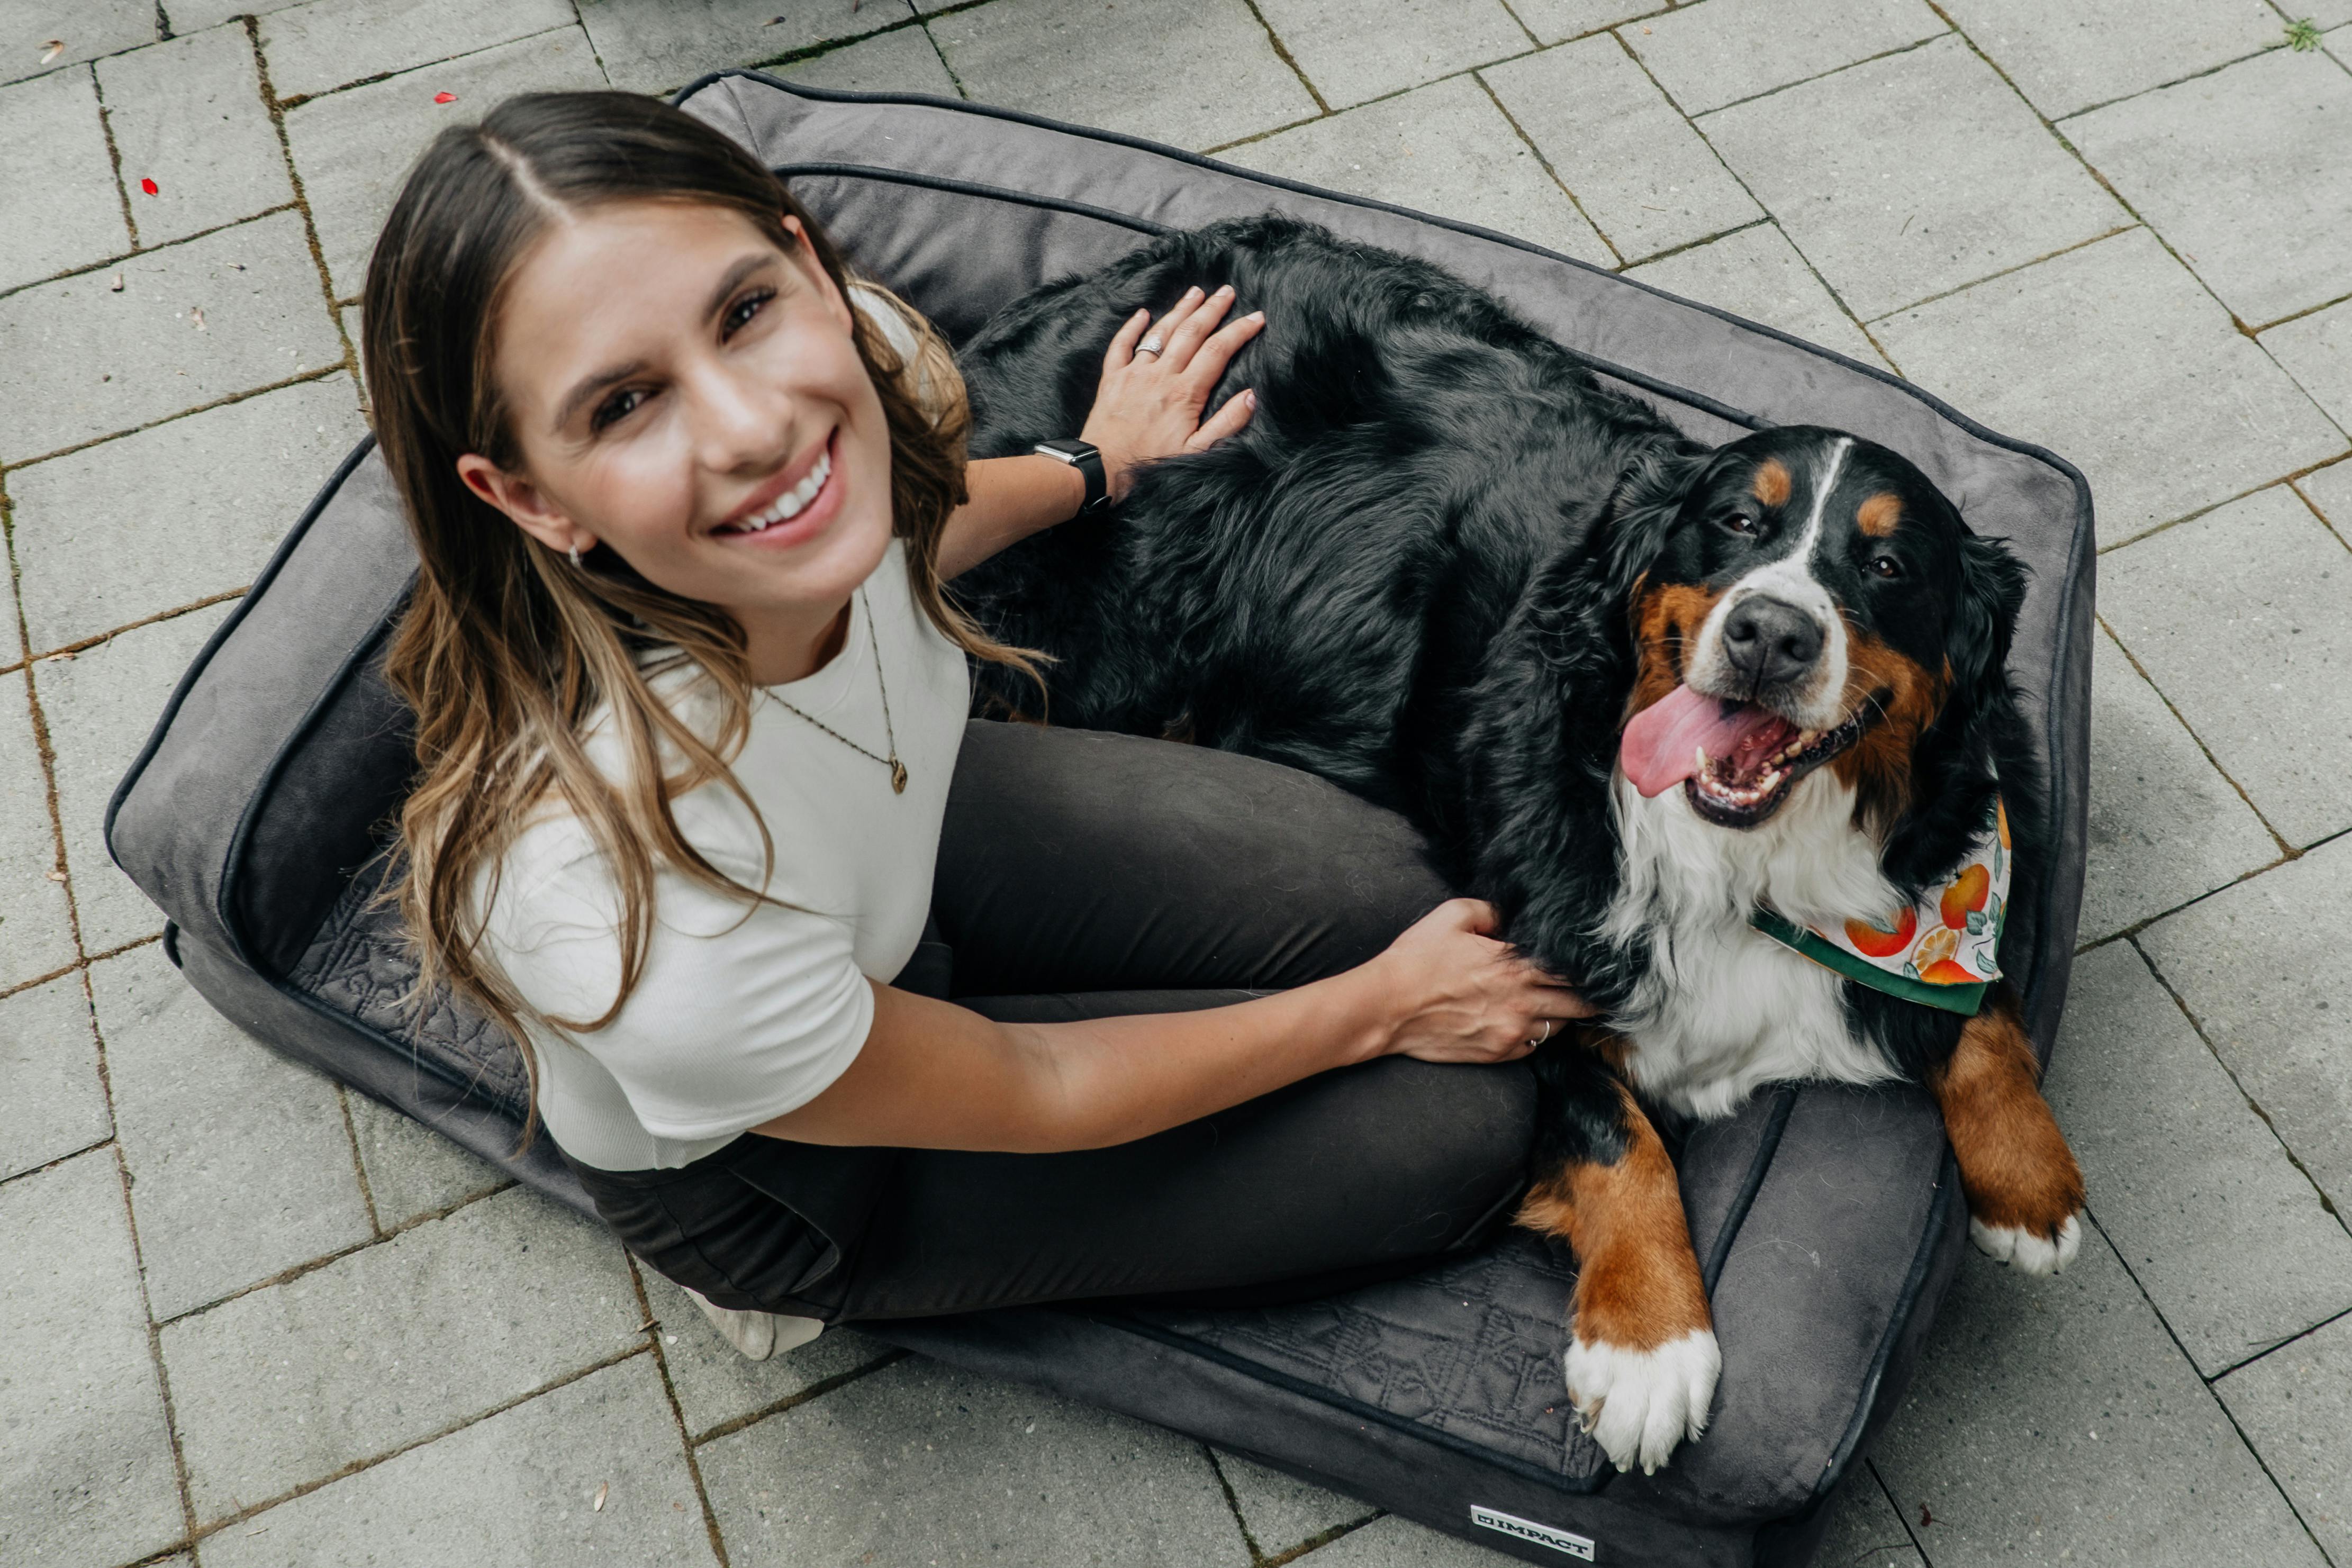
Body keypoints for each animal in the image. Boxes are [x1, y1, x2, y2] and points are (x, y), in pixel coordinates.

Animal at [945, 215, 2088, 1476]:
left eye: (1887, 566)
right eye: (1737, 523)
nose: (1768, 633)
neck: (1742, 863)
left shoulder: (1974, 838)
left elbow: (1982, 1003)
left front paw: (2031, 1187)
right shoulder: (1519, 967)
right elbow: (1615, 1132)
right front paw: (1648, 1344)